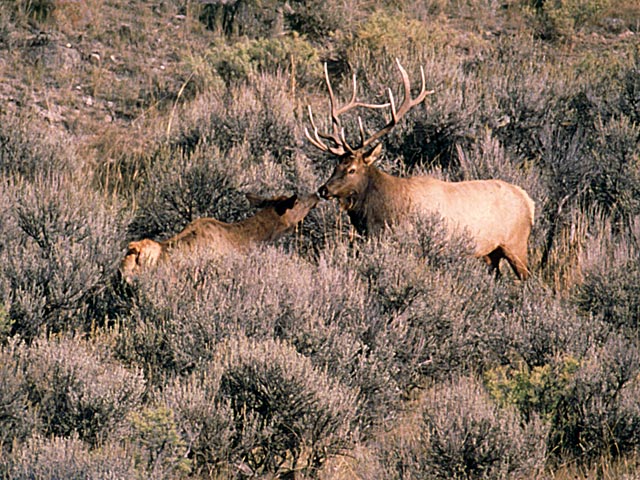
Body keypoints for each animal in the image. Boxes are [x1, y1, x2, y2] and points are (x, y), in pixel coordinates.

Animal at [305, 59, 535, 279]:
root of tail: (528, 201)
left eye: (352, 169)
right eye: (336, 165)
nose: (324, 189)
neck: (380, 215)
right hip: (491, 252)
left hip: (516, 243)